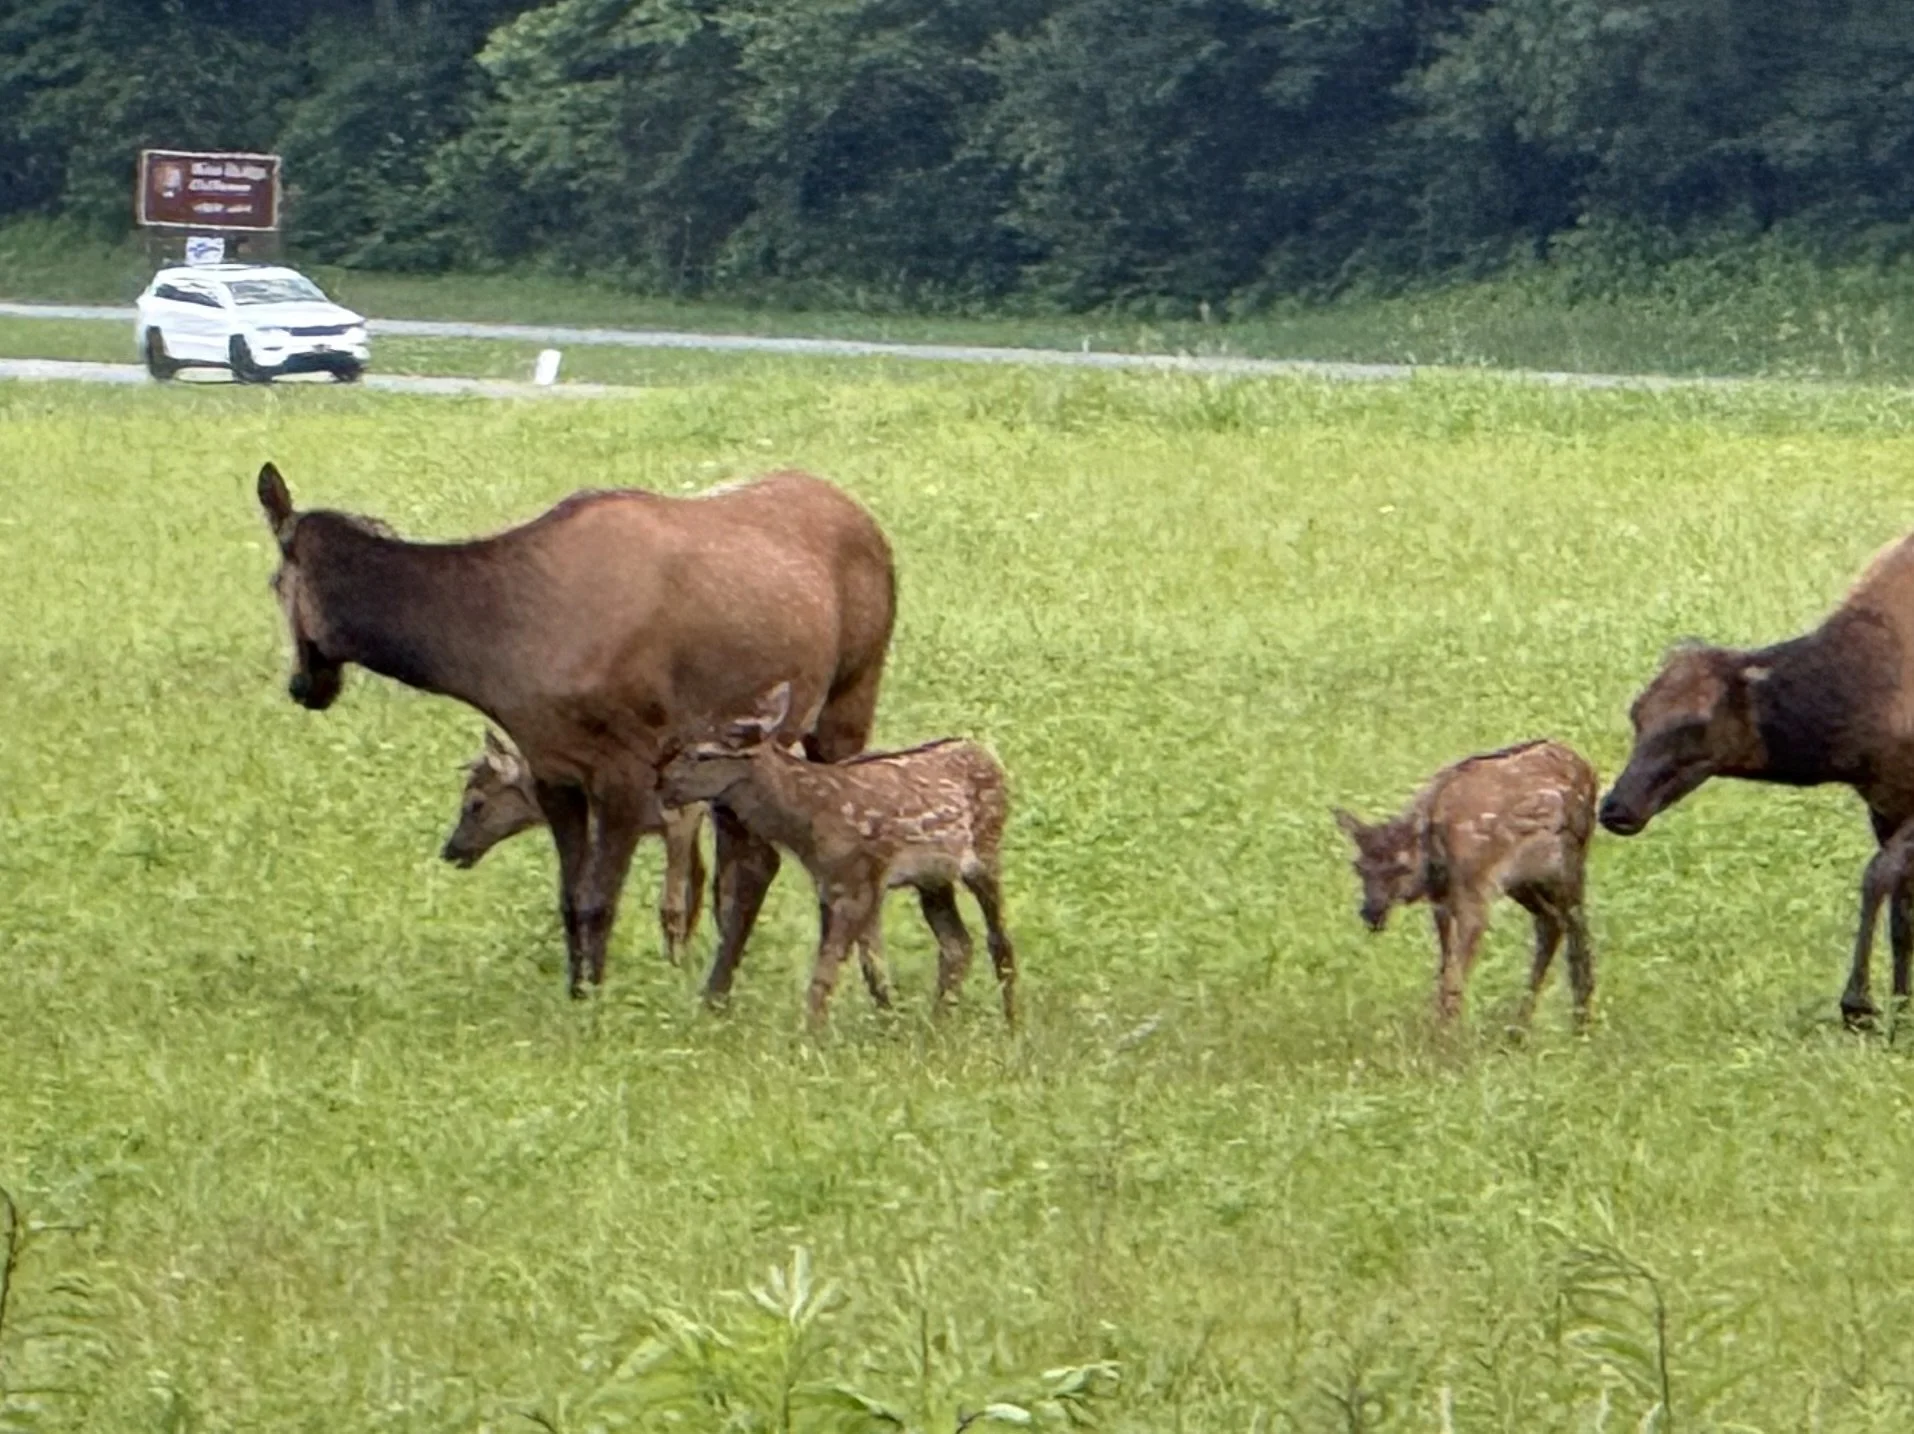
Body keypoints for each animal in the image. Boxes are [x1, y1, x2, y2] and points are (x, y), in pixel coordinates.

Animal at [440, 728, 708, 966]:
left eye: (476, 804)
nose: (449, 851)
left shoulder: (682, 817)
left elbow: (671, 906)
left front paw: (671, 967)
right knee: (700, 874)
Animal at [657, 683, 1016, 1029]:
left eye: (704, 754)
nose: (662, 783)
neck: (808, 822)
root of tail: (989, 757)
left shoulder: (858, 882)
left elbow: (827, 970)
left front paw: (810, 1035)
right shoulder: (834, 884)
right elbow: (871, 964)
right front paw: (889, 1026)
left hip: (986, 850)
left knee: (998, 940)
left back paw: (1012, 1025)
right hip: (934, 878)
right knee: (957, 943)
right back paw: (938, 1022)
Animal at [1335, 739, 1599, 1026]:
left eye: (1402, 867)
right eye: (1358, 867)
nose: (1371, 912)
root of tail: (1588, 769)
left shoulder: (1474, 895)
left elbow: (1454, 978)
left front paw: (1444, 1033)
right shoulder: (1442, 903)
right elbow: (1444, 968)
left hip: (1567, 864)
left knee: (1576, 930)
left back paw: (1579, 1022)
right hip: (1524, 883)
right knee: (1551, 923)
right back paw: (1520, 1026)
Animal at [1600, 526, 1914, 1027]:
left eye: (1695, 723)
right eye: (1636, 714)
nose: (1616, 807)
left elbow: (1877, 876)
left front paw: (1859, 1004)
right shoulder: (1883, 801)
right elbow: (1903, 912)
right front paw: (1901, 1012)